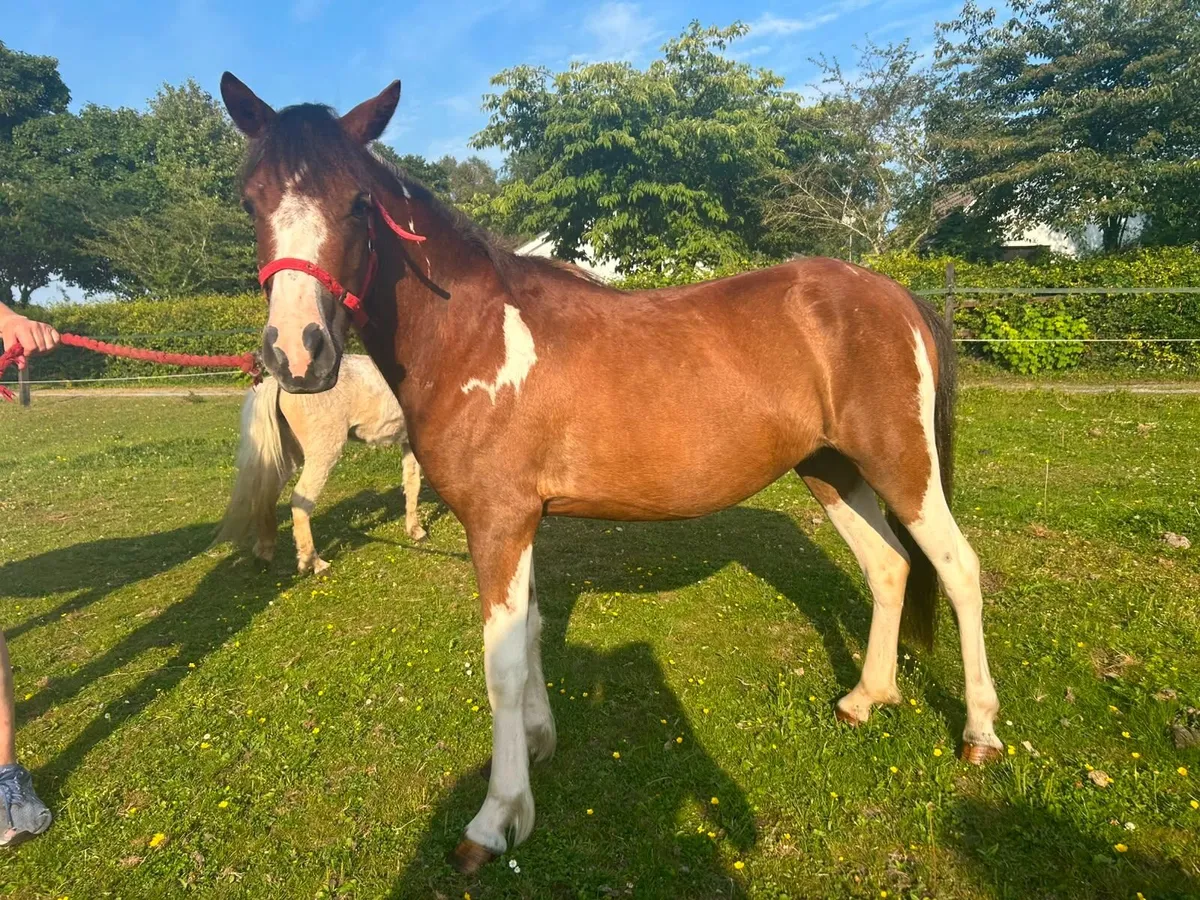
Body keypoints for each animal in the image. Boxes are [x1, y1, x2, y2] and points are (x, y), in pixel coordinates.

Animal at [214, 354, 425, 574]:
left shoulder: (409, 445)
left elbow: (412, 484)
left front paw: (415, 530)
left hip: (288, 456)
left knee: (268, 496)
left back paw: (265, 552)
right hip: (322, 454)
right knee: (301, 501)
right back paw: (313, 562)